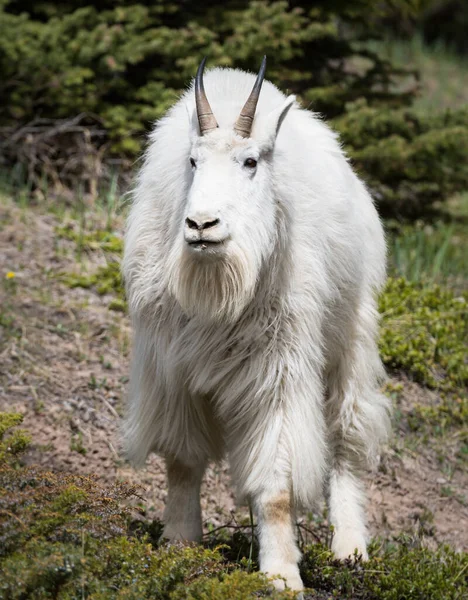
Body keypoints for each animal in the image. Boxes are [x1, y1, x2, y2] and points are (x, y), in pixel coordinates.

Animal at [122, 57, 390, 596]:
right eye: (193, 162)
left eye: (250, 162)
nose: (202, 226)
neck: (217, 285)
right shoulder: (171, 368)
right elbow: (183, 461)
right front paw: (179, 544)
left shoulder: (278, 370)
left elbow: (277, 487)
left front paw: (282, 574)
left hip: (350, 337)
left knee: (346, 436)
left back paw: (350, 548)